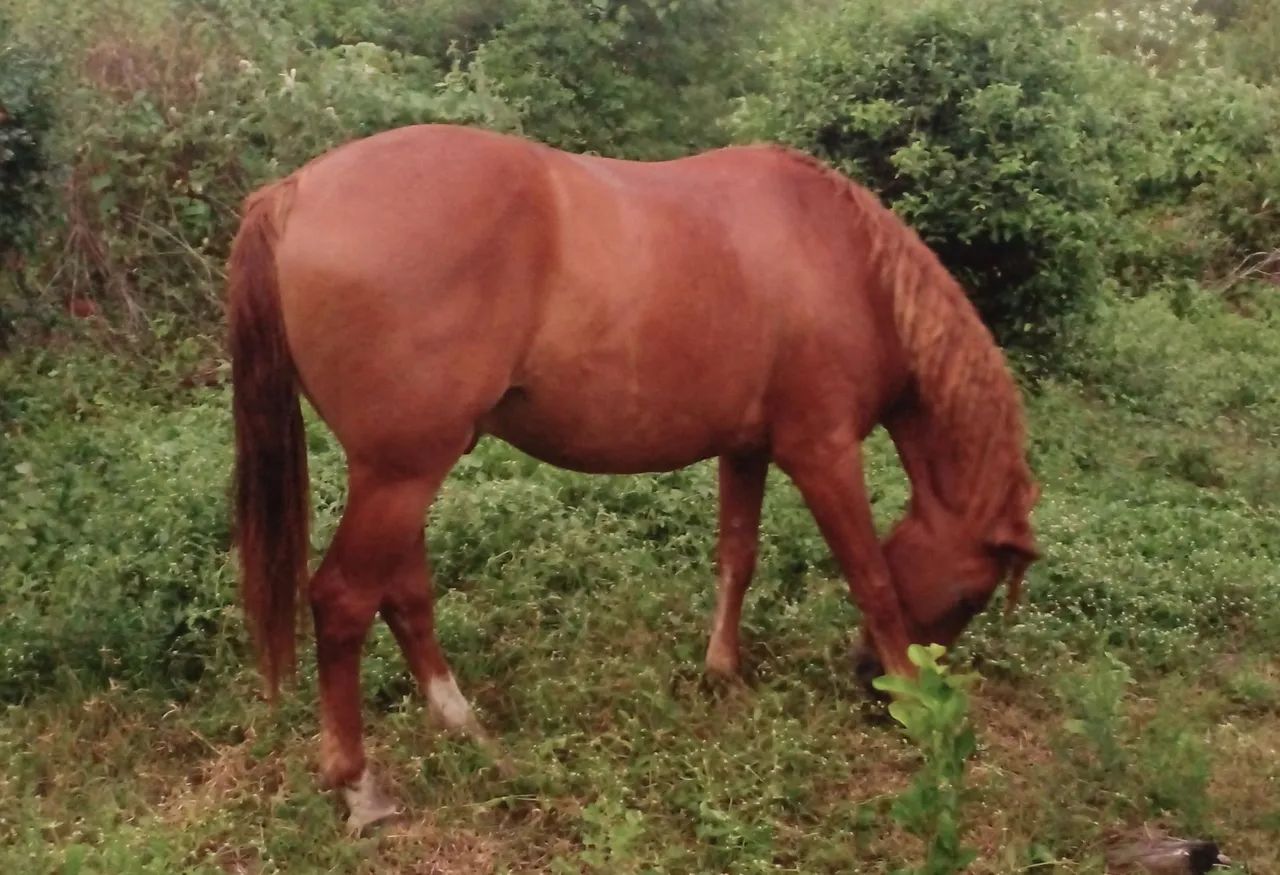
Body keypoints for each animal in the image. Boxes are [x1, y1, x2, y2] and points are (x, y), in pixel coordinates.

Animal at [226, 124, 1040, 829]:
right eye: (971, 594)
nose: (867, 676)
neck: (847, 262)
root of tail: (293, 191)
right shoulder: (822, 452)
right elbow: (871, 576)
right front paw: (917, 705)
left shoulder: (746, 448)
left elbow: (737, 556)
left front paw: (722, 671)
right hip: (401, 473)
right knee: (343, 601)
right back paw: (360, 788)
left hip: (402, 472)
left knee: (404, 594)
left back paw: (465, 727)